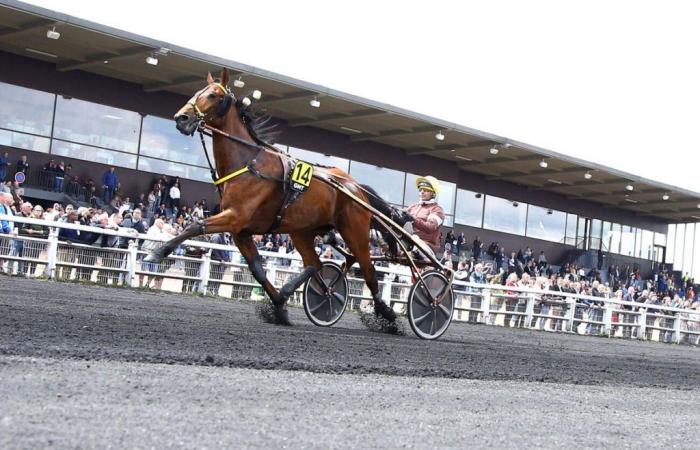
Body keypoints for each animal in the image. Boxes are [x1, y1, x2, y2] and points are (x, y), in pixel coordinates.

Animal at [146, 67, 400, 326]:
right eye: (199, 91)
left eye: (214, 95)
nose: (181, 118)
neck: (248, 162)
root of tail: (355, 187)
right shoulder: (241, 231)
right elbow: (257, 269)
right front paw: (279, 305)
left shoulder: (235, 217)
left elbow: (195, 226)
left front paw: (157, 252)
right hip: (301, 231)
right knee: (315, 264)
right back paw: (313, 291)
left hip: (355, 232)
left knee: (368, 271)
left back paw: (387, 314)